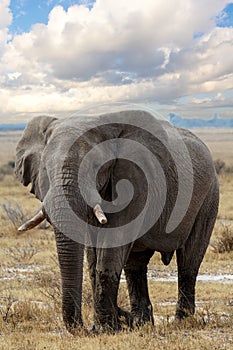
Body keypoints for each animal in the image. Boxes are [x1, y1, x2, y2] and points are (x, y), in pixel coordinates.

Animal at [15, 110, 219, 332]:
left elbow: (111, 249)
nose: (85, 328)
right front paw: (108, 326)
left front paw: (107, 328)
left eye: (96, 167)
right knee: (135, 266)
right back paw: (142, 322)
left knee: (189, 261)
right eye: (45, 168)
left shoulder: (136, 180)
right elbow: (94, 257)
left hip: (209, 196)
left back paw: (181, 321)